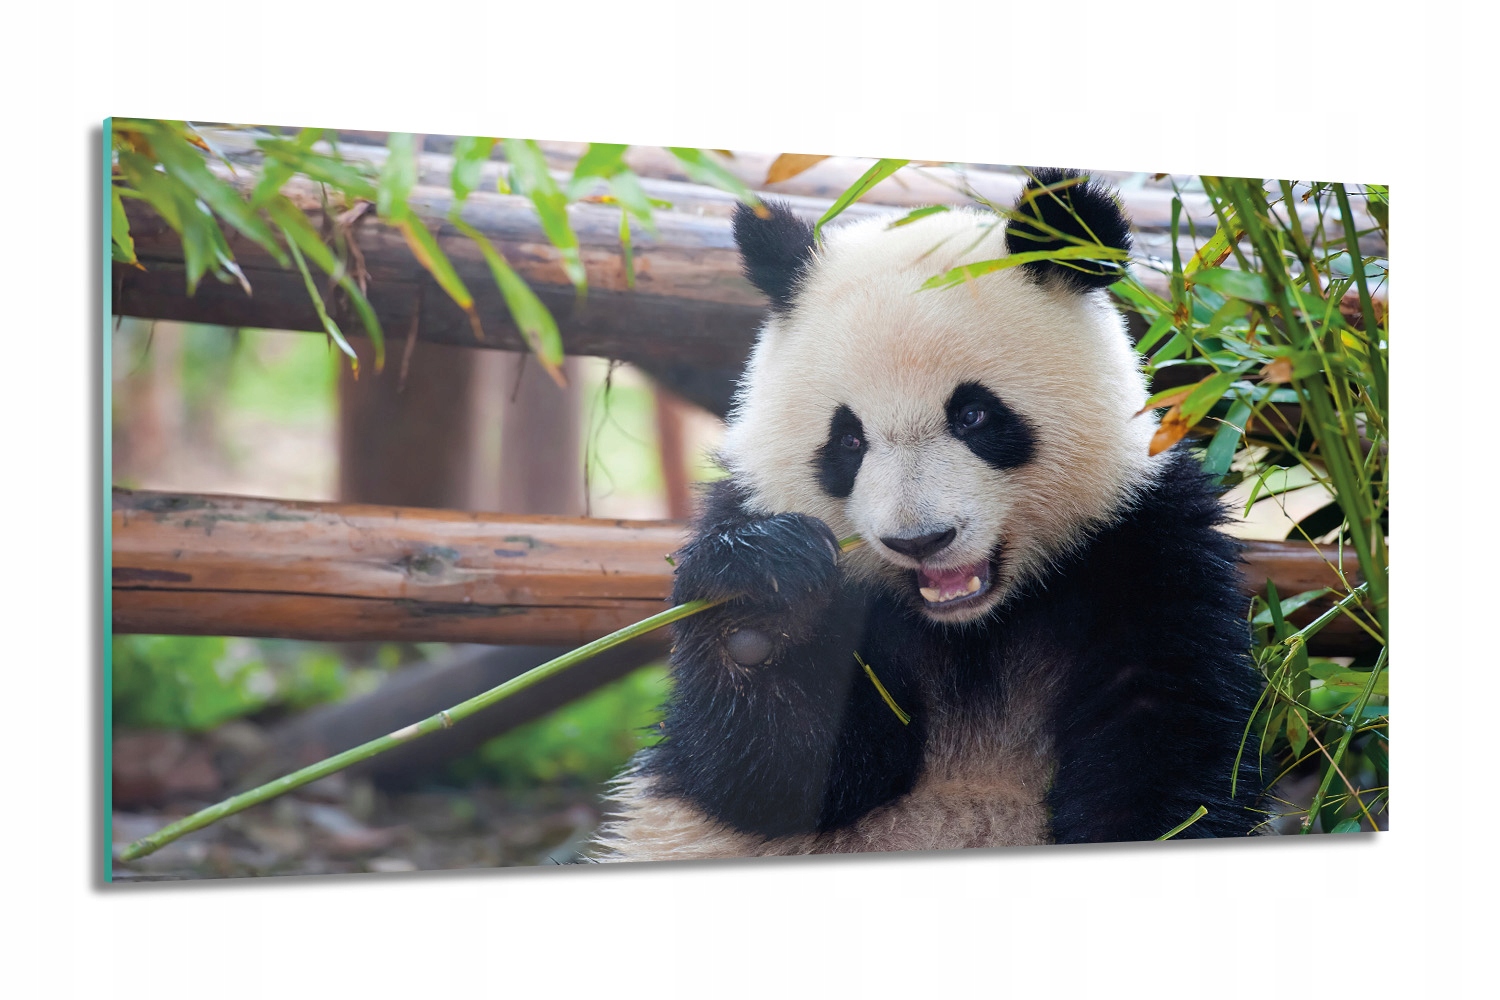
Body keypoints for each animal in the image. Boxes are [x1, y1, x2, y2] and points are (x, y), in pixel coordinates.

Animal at [595, 168, 1266, 861]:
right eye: (848, 440)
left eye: (973, 415)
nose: (919, 540)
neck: (972, 627)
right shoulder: (754, 510)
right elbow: (774, 778)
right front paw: (759, 604)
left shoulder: (1143, 542)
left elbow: (1165, 739)